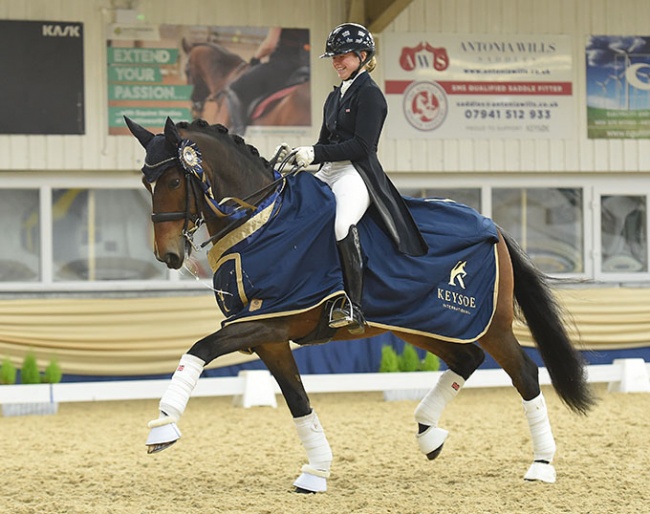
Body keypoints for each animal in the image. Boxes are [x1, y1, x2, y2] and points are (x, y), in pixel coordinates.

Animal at [123, 117, 592, 492]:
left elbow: (199, 350)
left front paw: (163, 426)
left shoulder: (269, 322)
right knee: (467, 358)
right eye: (147, 183)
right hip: (419, 322)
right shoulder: (269, 336)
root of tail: (491, 224)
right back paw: (428, 434)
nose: (169, 256)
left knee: (525, 373)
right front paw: (316, 471)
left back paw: (541, 464)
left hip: (490, 324)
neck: (260, 221)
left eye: (173, 181)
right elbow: (298, 402)